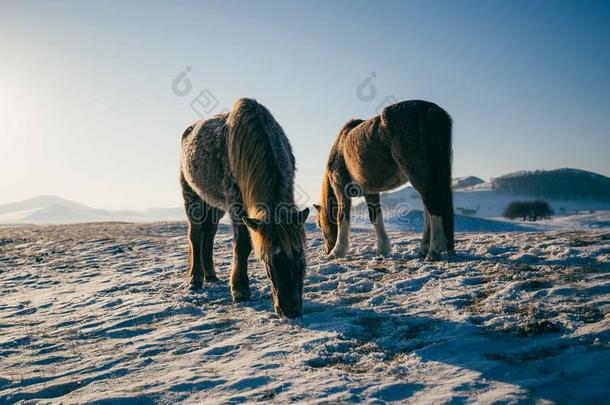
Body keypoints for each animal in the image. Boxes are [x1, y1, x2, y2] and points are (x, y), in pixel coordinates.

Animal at [178, 97, 306, 316]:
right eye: (267, 261)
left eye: (300, 256)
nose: (290, 310)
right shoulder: (236, 205)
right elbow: (243, 245)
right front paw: (240, 290)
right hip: (191, 196)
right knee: (195, 234)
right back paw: (195, 279)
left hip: (215, 205)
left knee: (209, 233)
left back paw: (210, 274)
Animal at [314, 99, 452, 260]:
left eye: (319, 224)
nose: (327, 251)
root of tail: (428, 108)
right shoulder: (370, 192)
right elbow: (375, 216)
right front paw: (382, 249)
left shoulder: (341, 189)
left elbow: (341, 217)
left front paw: (337, 252)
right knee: (427, 210)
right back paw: (424, 248)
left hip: (418, 175)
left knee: (432, 203)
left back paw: (433, 250)